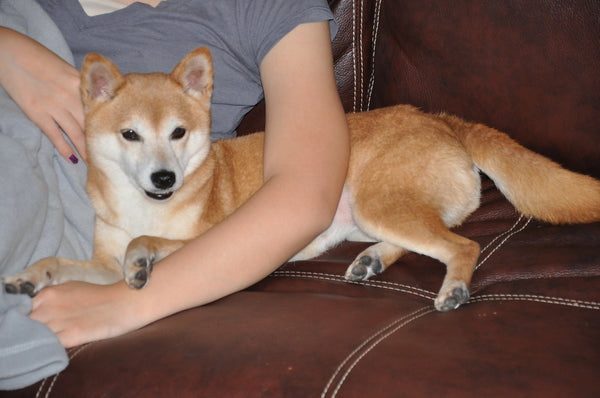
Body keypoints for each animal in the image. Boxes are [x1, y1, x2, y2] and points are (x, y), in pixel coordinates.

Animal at [4, 48, 600, 310]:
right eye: (130, 135)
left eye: (178, 132)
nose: (165, 177)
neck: (143, 204)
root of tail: (441, 118)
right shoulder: (100, 260)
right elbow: (65, 262)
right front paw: (30, 276)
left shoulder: (211, 237)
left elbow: (147, 242)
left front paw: (142, 260)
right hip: (369, 213)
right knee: (427, 241)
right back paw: (371, 261)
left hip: (379, 202)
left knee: (463, 245)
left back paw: (453, 287)